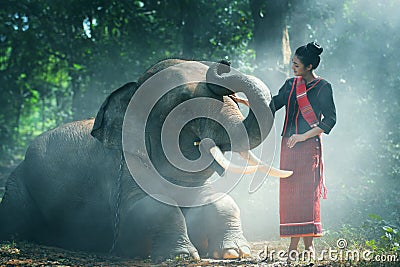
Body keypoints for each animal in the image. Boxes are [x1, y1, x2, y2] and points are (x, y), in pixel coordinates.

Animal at [0, 58, 290, 262]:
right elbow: (152, 207)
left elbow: (220, 201)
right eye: (182, 102)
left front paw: (236, 253)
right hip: (17, 186)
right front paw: (181, 257)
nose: (224, 63)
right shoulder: (125, 169)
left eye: (232, 98)